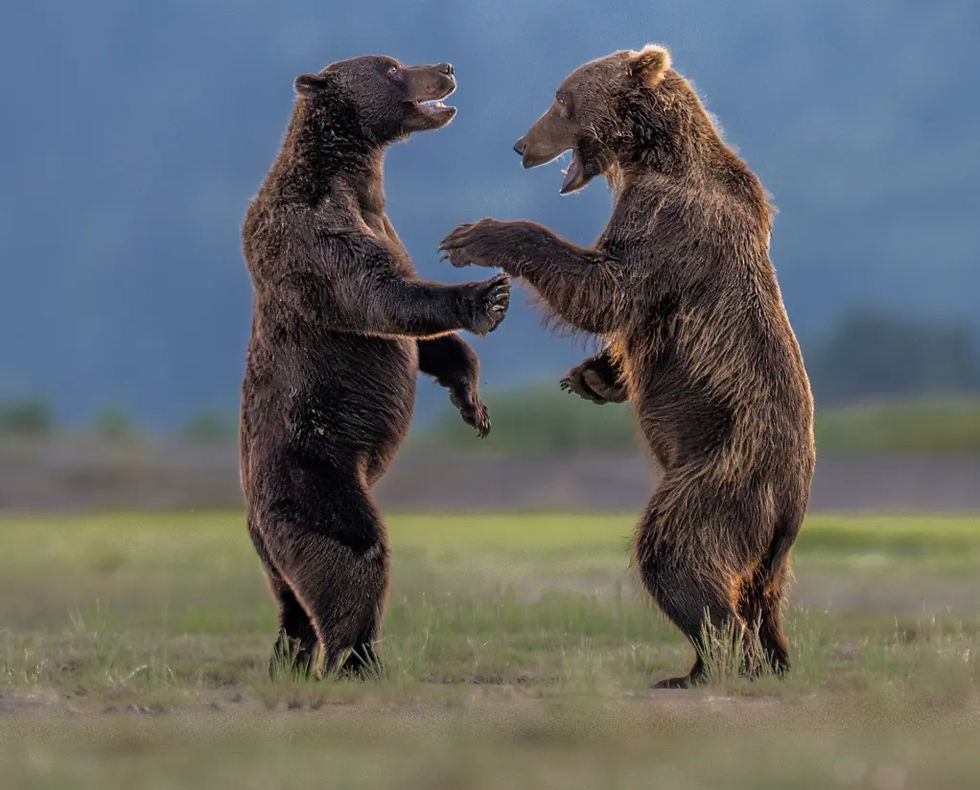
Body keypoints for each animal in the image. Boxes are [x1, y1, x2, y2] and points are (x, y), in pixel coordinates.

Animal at [240, 55, 510, 678]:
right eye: (389, 67)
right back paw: (357, 658)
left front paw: (473, 403)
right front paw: (486, 297)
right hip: (311, 467)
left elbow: (424, 340)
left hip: (270, 542)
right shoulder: (314, 233)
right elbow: (379, 297)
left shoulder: (381, 222)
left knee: (291, 600)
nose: (446, 65)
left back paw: (291, 658)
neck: (356, 175)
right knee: (352, 551)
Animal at [440, 45, 815, 687]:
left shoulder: (668, 222)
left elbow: (607, 289)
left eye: (561, 99)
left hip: (724, 467)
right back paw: (756, 659)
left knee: (675, 551)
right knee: (760, 594)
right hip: (766, 539)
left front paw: (475, 235)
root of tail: (791, 508)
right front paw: (591, 377)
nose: (520, 144)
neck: (650, 156)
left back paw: (715, 664)